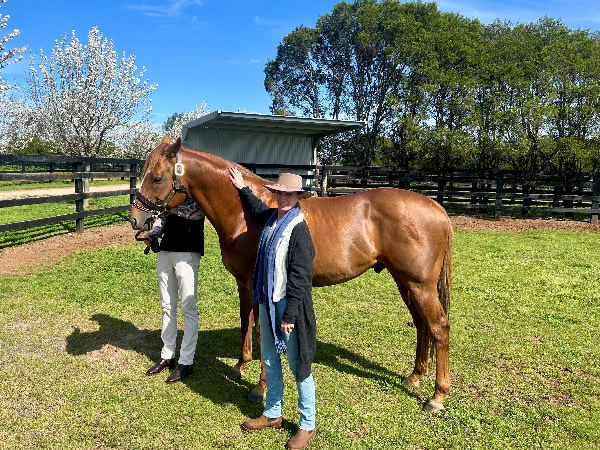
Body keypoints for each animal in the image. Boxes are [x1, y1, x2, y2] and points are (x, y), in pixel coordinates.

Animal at [129, 134, 452, 412]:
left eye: (156, 177)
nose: (136, 220)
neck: (245, 213)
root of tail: (437, 208)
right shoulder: (244, 284)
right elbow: (246, 323)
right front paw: (239, 367)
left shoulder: (259, 284)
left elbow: (262, 333)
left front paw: (259, 388)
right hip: (405, 282)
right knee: (421, 324)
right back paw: (414, 376)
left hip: (419, 284)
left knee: (438, 327)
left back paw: (437, 397)